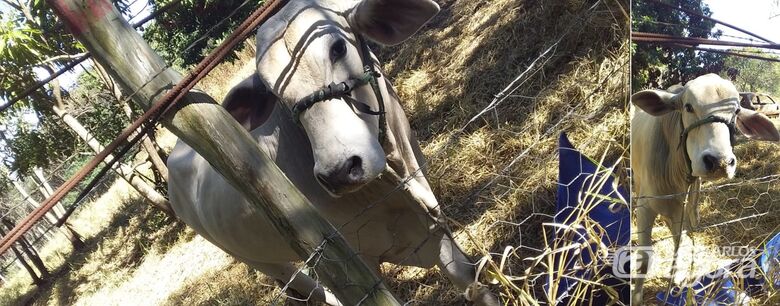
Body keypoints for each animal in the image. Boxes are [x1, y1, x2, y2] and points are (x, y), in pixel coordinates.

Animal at [169, 1, 500, 304]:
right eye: (271, 91)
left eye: (338, 48)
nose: (339, 171)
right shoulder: (354, 263)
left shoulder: (434, 220)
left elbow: (472, 283)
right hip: (259, 259)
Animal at [632, 73, 776, 304]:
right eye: (688, 107)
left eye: (736, 112)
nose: (720, 162)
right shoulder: (645, 208)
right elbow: (644, 261)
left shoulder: (681, 210)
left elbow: (679, 243)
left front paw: (676, 281)